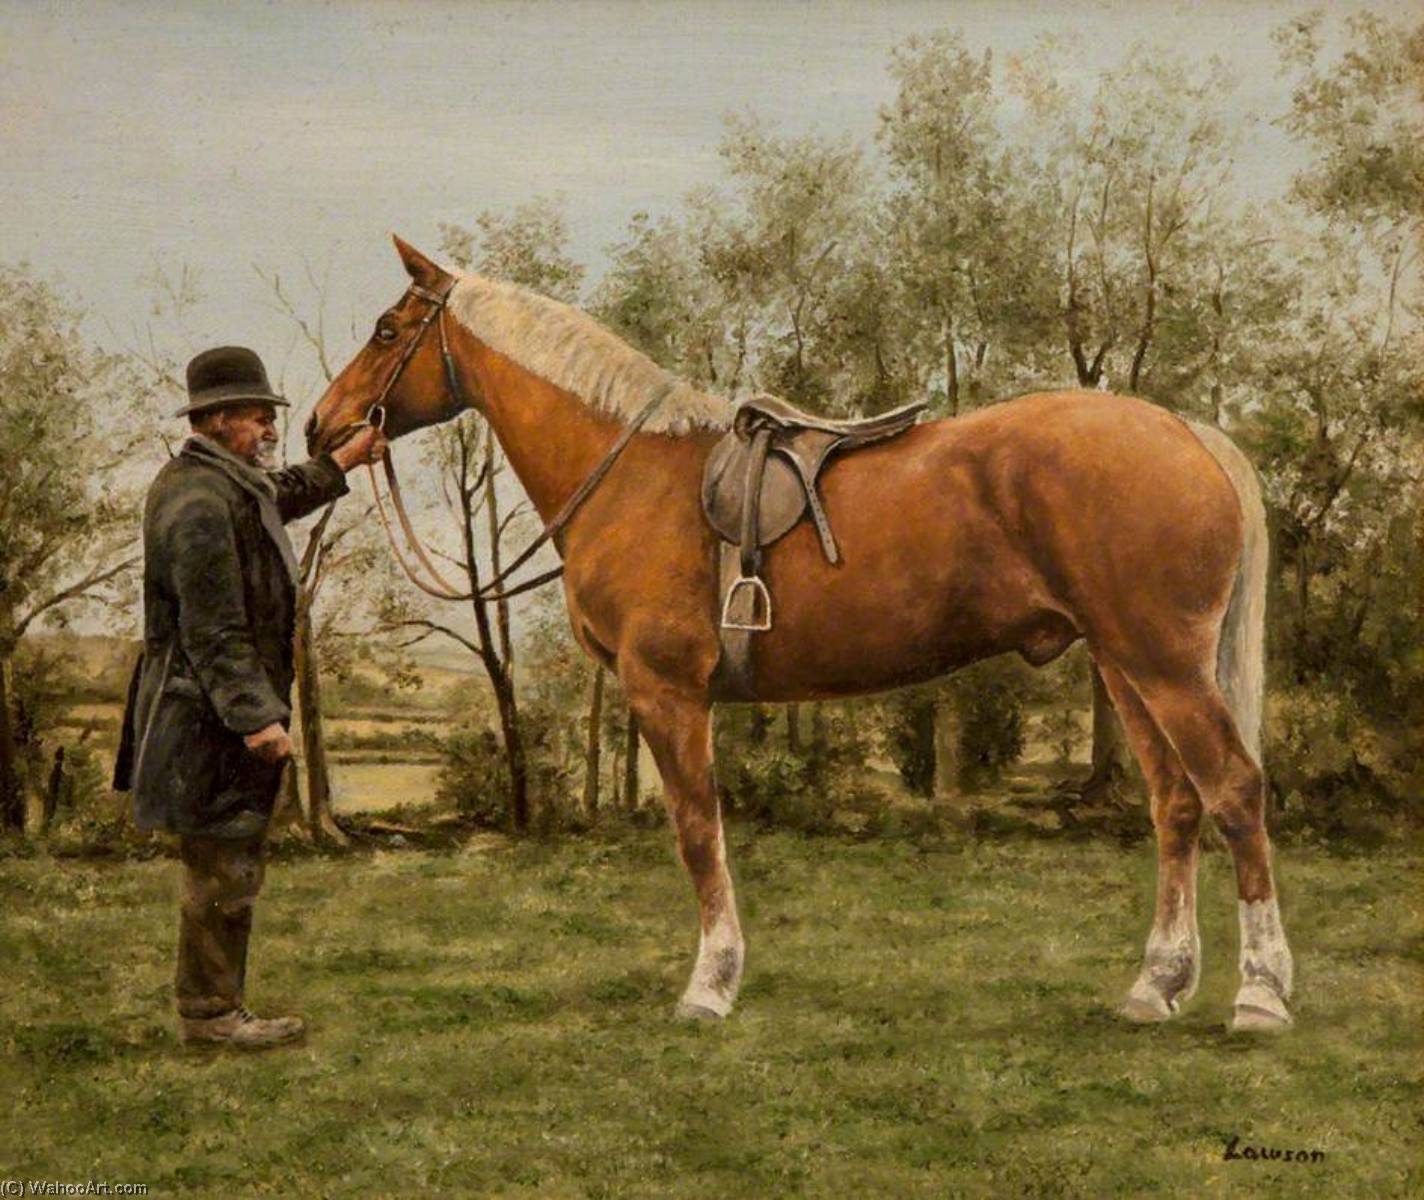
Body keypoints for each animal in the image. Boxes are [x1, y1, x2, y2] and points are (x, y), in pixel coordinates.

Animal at [307, 236, 1294, 1032]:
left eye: (389, 331)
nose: (324, 427)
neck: (633, 472)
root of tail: (1188, 433)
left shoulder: (666, 692)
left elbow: (697, 833)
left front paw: (709, 986)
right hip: (1127, 668)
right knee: (1176, 806)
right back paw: (1156, 987)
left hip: (1165, 666)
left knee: (1236, 792)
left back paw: (1260, 995)